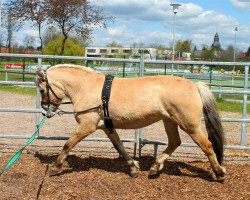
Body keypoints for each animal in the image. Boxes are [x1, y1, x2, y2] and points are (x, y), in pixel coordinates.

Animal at [35, 64, 227, 181]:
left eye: (42, 89)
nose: (45, 110)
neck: (86, 87)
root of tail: (195, 86)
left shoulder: (87, 126)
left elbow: (68, 144)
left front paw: (56, 167)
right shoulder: (107, 127)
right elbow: (119, 146)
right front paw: (133, 168)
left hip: (189, 125)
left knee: (206, 145)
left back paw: (219, 172)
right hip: (169, 121)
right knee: (174, 142)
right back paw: (155, 168)